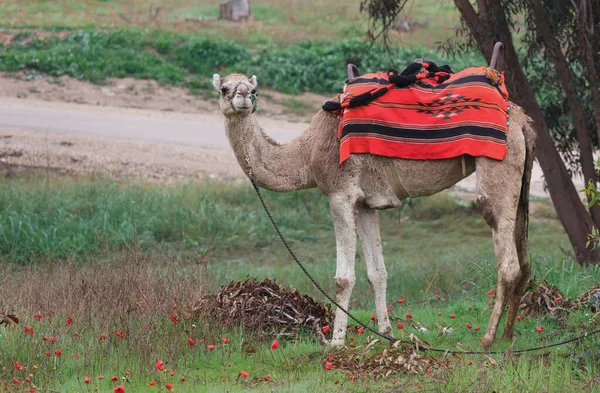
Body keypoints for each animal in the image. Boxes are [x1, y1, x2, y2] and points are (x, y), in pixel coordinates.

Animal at [213, 53, 536, 348]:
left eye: (254, 90)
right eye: (224, 88)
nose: (242, 97)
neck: (307, 154)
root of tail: (522, 120)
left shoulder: (341, 194)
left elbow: (344, 278)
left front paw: (336, 343)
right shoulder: (367, 203)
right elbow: (377, 272)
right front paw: (387, 333)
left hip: (498, 168)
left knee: (507, 260)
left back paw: (487, 339)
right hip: (521, 182)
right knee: (524, 260)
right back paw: (508, 336)